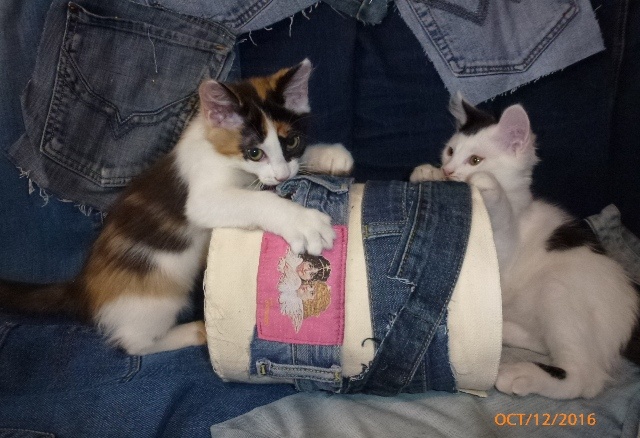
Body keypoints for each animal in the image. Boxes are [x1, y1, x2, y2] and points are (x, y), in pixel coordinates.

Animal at [0, 59, 354, 356]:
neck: (219, 151)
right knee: (134, 344)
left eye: (291, 142)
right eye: (254, 152)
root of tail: (83, 287)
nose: (281, 175)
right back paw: (194, 332)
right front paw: (303, 222)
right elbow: (257, 197)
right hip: (154, 299)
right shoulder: (201, 199)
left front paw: (329, 156)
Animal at [410, 95, 638, 399]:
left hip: (558, 289)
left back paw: (522, 375)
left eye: (475, 160)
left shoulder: (505, 251)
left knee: (584, 377)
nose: (448, 170)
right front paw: (427, 172)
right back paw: (503, 330)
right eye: (450, 151)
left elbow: (501, 217)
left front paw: (486, 186)